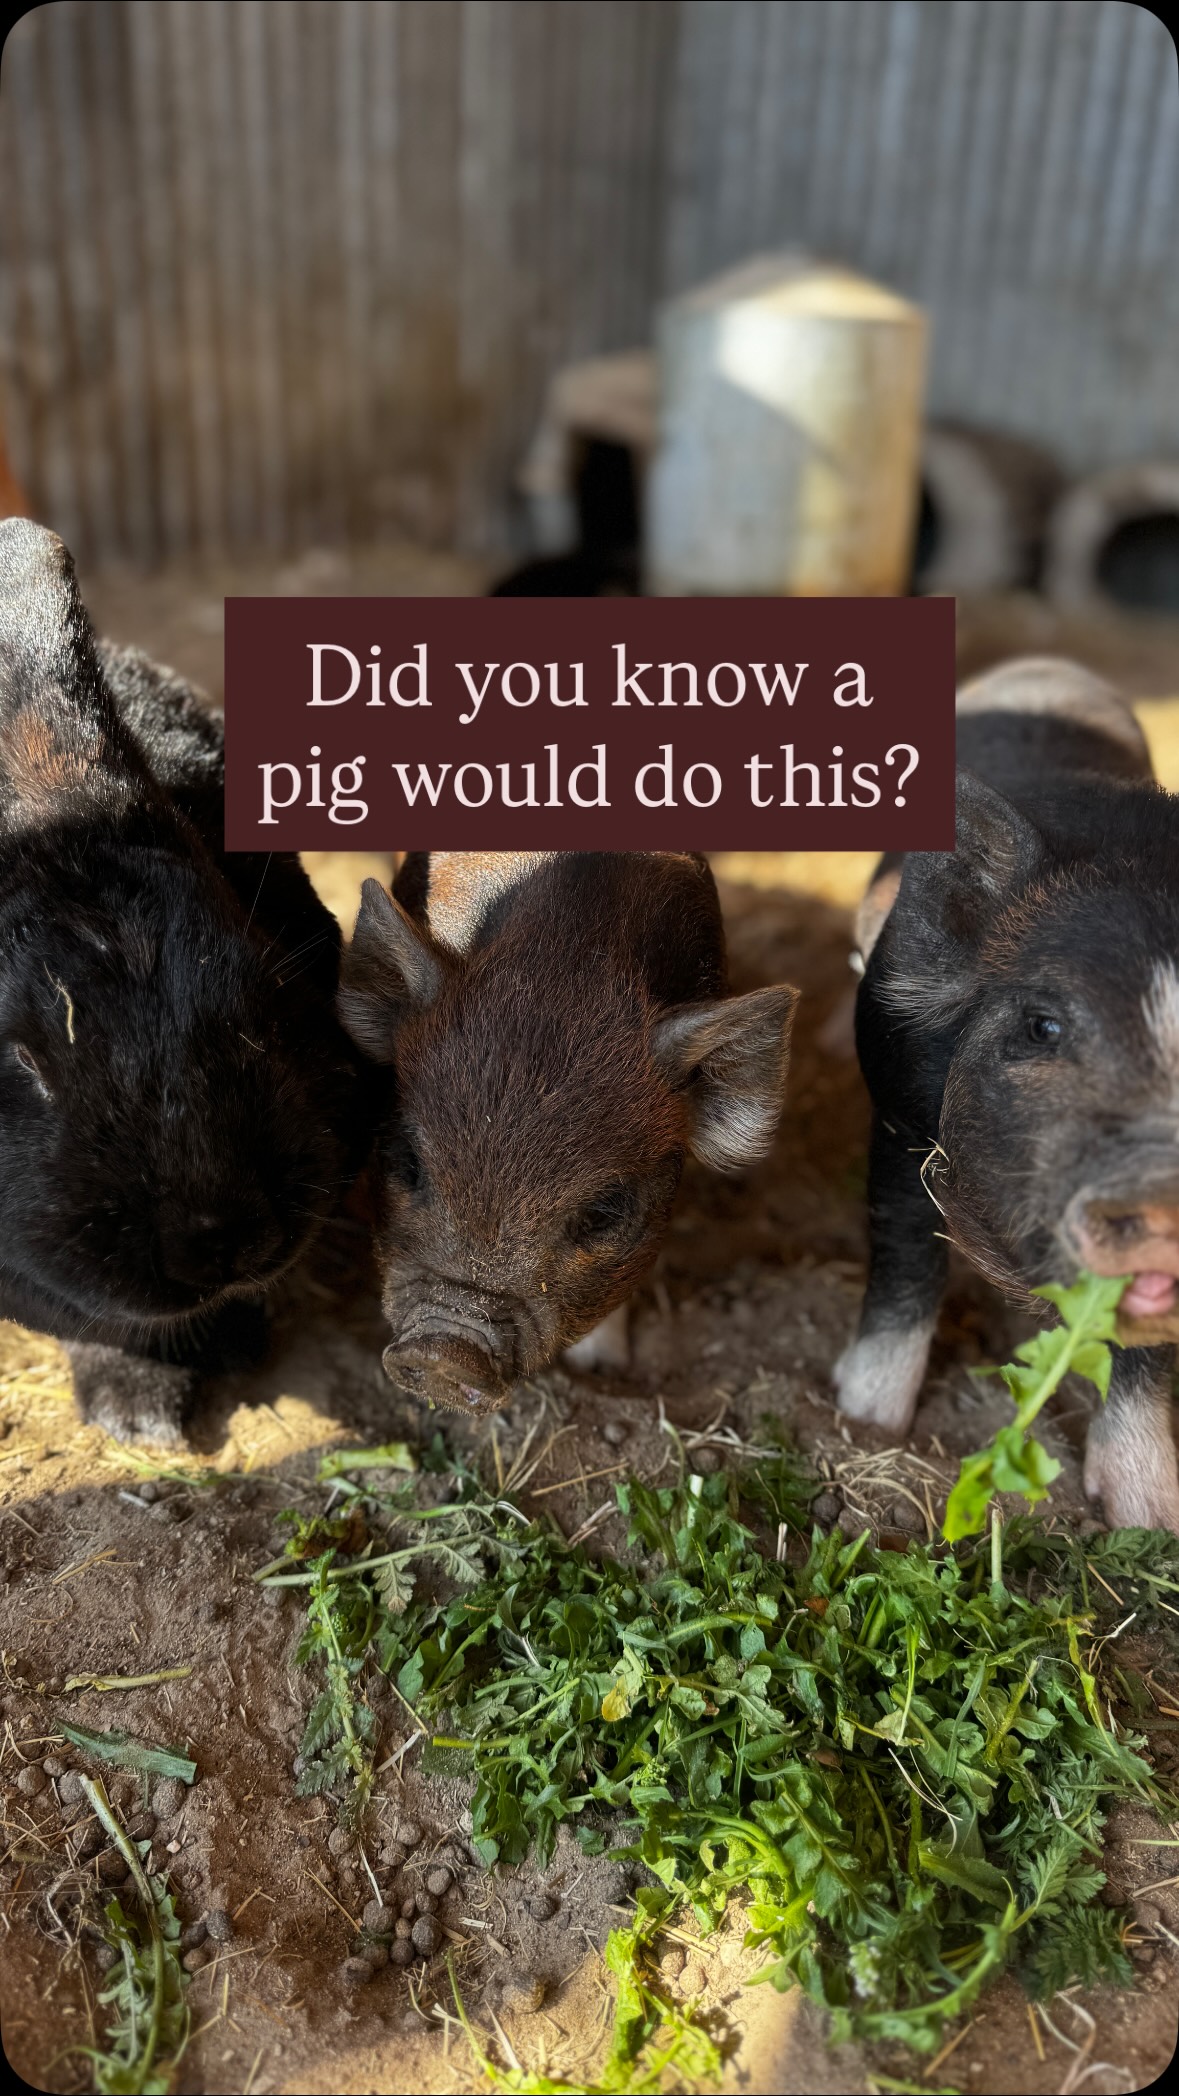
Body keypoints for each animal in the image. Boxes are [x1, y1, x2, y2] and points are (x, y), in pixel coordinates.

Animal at [835, 654, 1179, 1532]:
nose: (1158, 1190)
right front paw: (859, 1420)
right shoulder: (898, 1118)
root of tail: (1044, 665)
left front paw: (1147, 1520)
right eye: (1041, 1026)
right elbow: (905, 1259)